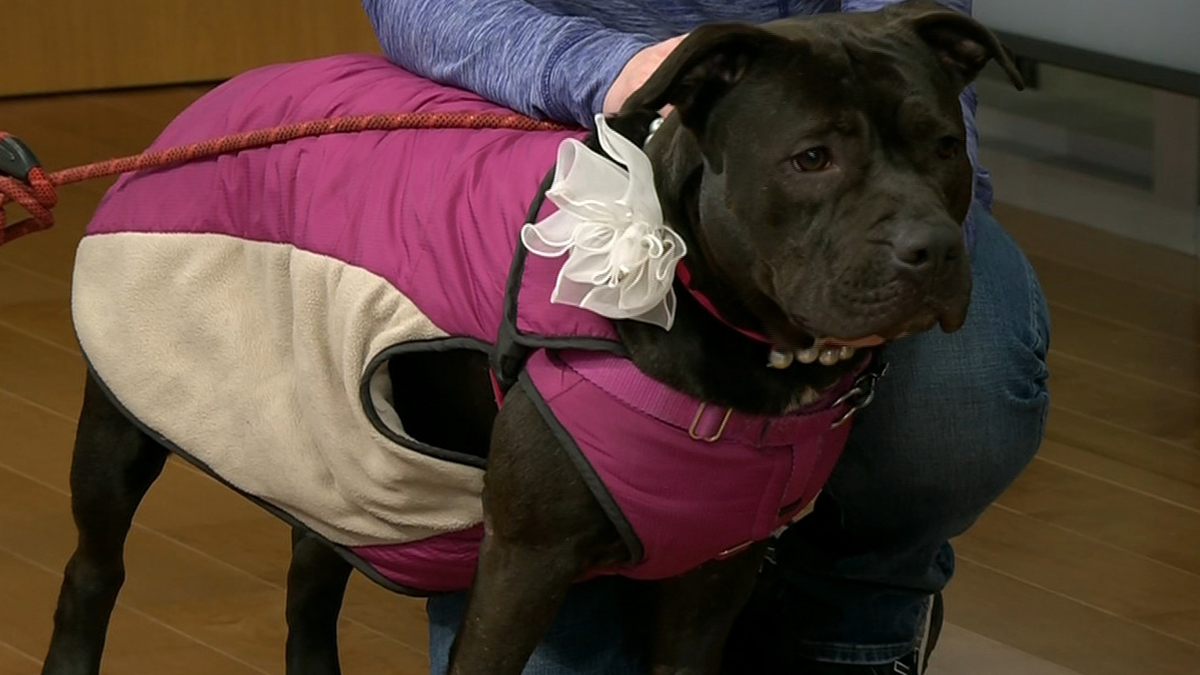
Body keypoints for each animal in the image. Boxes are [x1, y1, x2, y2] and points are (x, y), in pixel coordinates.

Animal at [37, 2, 1022, 667]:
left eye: (945, 147)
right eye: (812, 157)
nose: (932, 248)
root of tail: (227, 95)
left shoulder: (714, 577)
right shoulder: (524, 567)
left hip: (336, 449)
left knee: (313, 576)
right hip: (122, 427)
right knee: (93, 570)